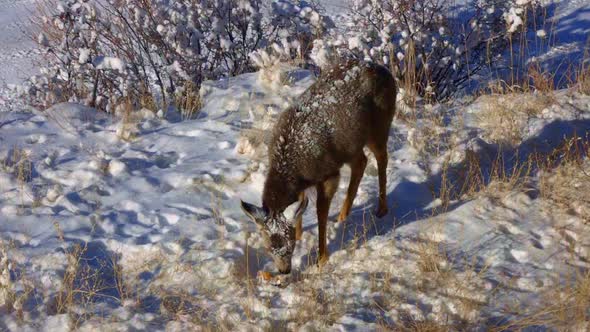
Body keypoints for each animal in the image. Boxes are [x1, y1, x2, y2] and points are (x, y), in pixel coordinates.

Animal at [240, 59, 398, 274]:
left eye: (290, 246)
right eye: (268, 248)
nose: (284, 270)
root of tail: (384, 70)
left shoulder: (328, 173)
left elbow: (320, 213)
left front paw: (321, 258)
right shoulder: (303, 183)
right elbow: (300, 204)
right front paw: (301, 234)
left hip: (380, 125)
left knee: (382, 158)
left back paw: (381, 209)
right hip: (351, 145)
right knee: (362, 162)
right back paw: (343, 215)